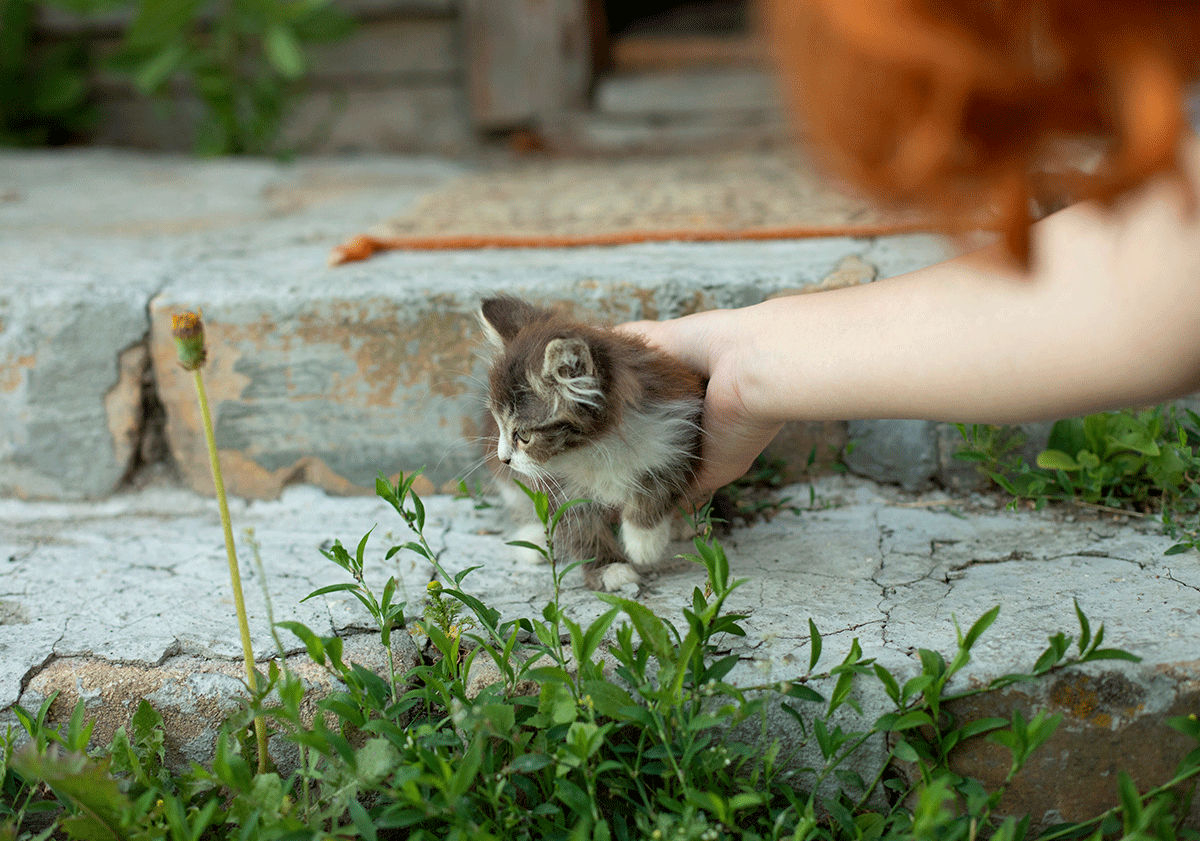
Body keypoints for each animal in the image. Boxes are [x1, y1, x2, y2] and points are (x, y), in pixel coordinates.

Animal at [477, 295, 700, 590]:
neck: (593, 448)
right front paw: (610, 569)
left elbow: (660, 483)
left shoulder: (678, 431)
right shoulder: (558, 485)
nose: (504, 458)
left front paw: (643, 541)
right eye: (499, 425)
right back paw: (535, 537)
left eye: (523, 435)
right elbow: (579, 527)